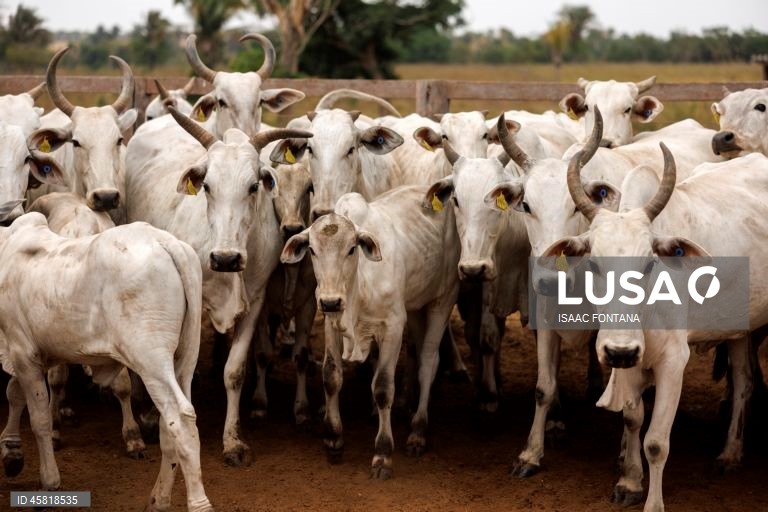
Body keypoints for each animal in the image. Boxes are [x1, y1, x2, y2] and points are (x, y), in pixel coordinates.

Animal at [0, 211, 212, 511]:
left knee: (181, 422)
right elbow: (15, 394)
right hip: (184, 360)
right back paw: (158, 499)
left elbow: (39, 419)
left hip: (152, 361)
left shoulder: (22, 351)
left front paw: (49, 481)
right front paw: (11, 451)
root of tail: (165, 241)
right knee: (169, 427)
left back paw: (198, 503)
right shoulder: (35, 354)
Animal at [125, 105, 312, 466]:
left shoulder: (255, 303)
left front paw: (232, 442)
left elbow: (234, 371)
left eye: (254, 186)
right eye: (208, 186)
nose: (225, 258)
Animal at [281, 185, 460, 479]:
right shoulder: (331, 324)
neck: (359, 287)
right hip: (415, 306)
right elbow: (331, 377)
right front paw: (333, 440)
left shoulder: (393, 327)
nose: (330, 301)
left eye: (352, 248)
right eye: (313, 250)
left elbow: (383, 387)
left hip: (442, 300)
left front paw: (383, 454)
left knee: (428, 362)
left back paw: (418, 430)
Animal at [541, 142, 768, 512]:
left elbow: (657, 443)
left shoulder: (673, 362)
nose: (617, 350)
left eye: (649, 264)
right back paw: (731, 452)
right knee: (744, 381)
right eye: (593, 264)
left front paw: (653, 503)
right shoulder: (629, 359)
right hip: (737, 327)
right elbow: (633, 420)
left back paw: (730, 454)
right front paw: (630, 482)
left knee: (744, 385)